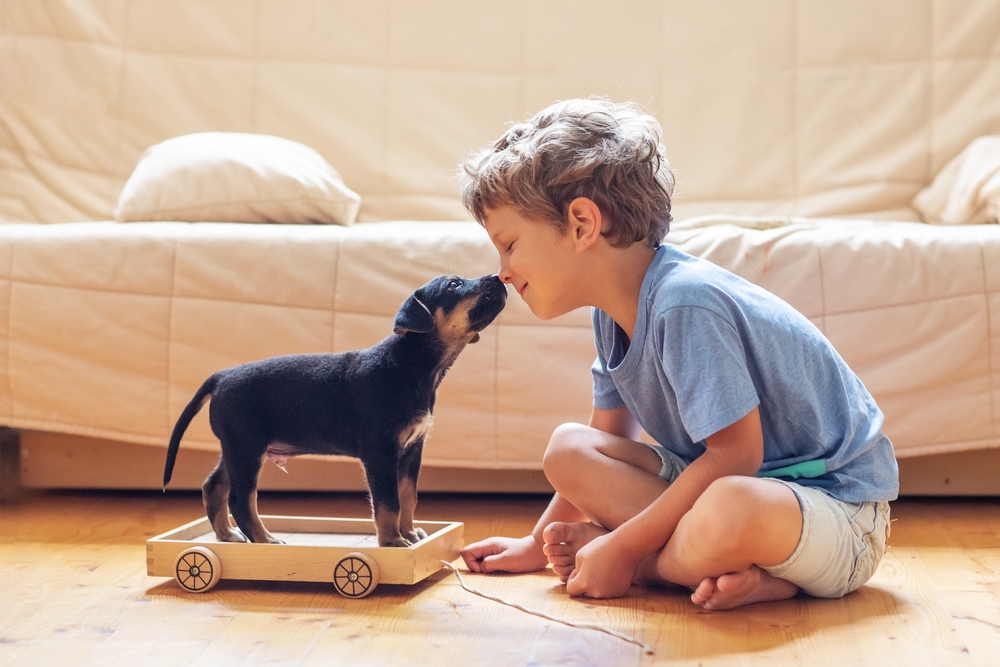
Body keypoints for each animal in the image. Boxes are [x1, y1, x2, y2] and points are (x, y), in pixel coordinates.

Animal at [167, 274, 508, 544]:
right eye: (454, 285)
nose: (498, 277)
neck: (411, 367)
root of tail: (221, 376)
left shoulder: (412, 450)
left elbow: (408, 497)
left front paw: (409, 533)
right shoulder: (380, 453)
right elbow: (389, 503)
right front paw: (393, 541)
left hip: (237, 447)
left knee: (215, 487)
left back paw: (227, 534)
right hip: (246, 447)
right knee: (241, 500)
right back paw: (264, 540)